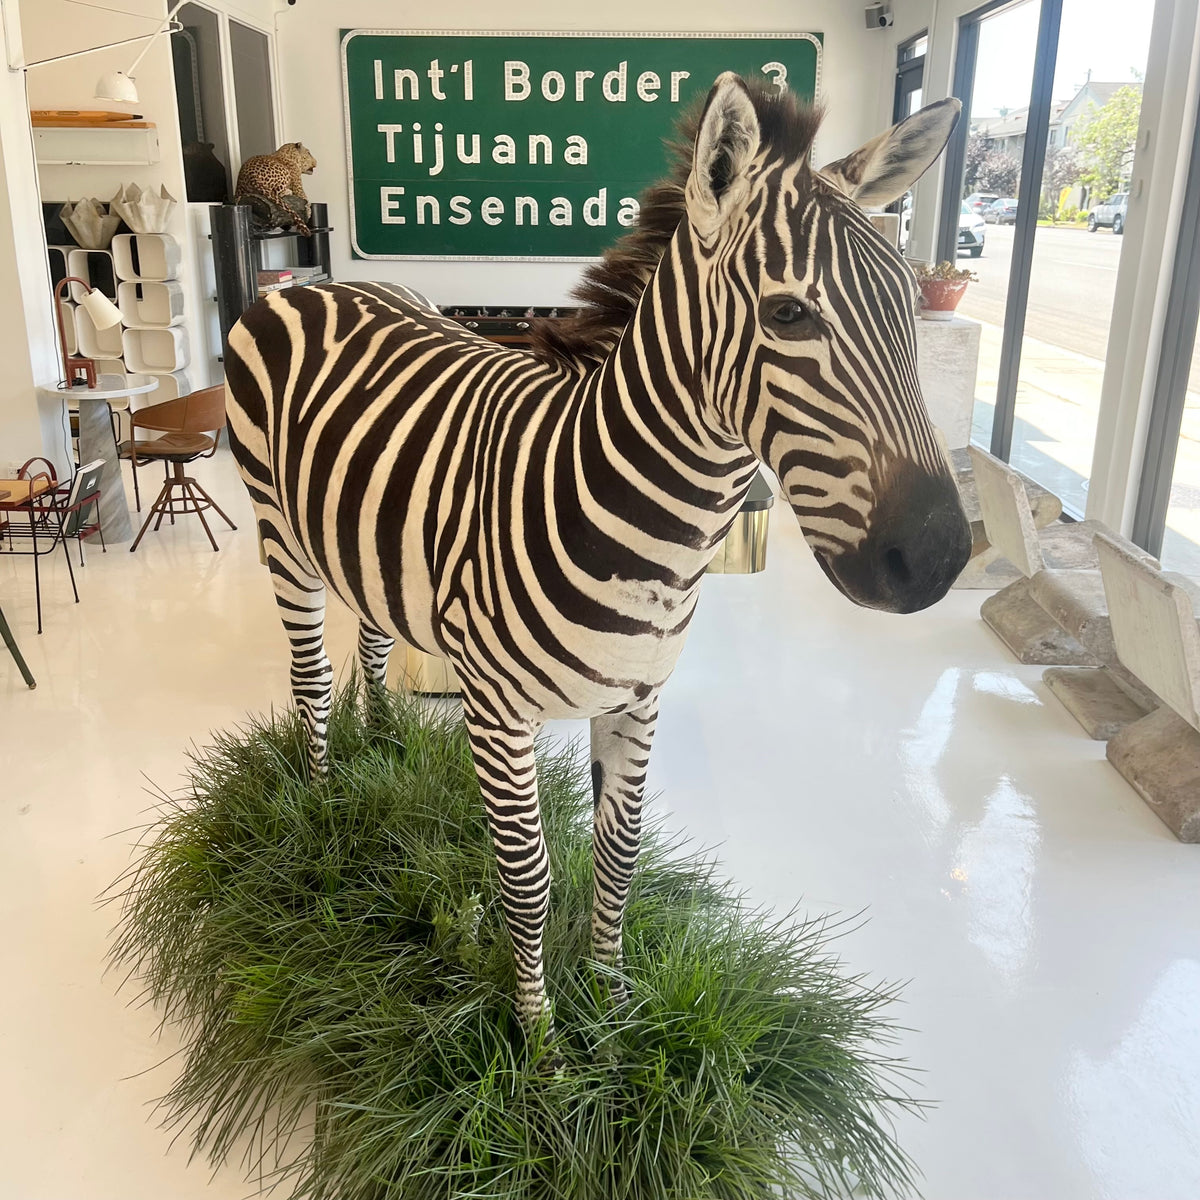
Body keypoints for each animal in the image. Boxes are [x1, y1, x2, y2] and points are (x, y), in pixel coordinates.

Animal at [225, 74, 972, 1031]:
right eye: (788, 313)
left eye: (912, 307)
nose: (941, 557)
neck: (651, 539)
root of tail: (306, 289)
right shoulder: (497, 712)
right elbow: (528, 879)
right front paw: (538, 1037)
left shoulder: (639, 698)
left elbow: (620, 855)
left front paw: (613, 1009)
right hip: (280, 534)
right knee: (312, 679)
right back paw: (323, 814)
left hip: (363, 540)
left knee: (376, 642)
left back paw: (386, 757)